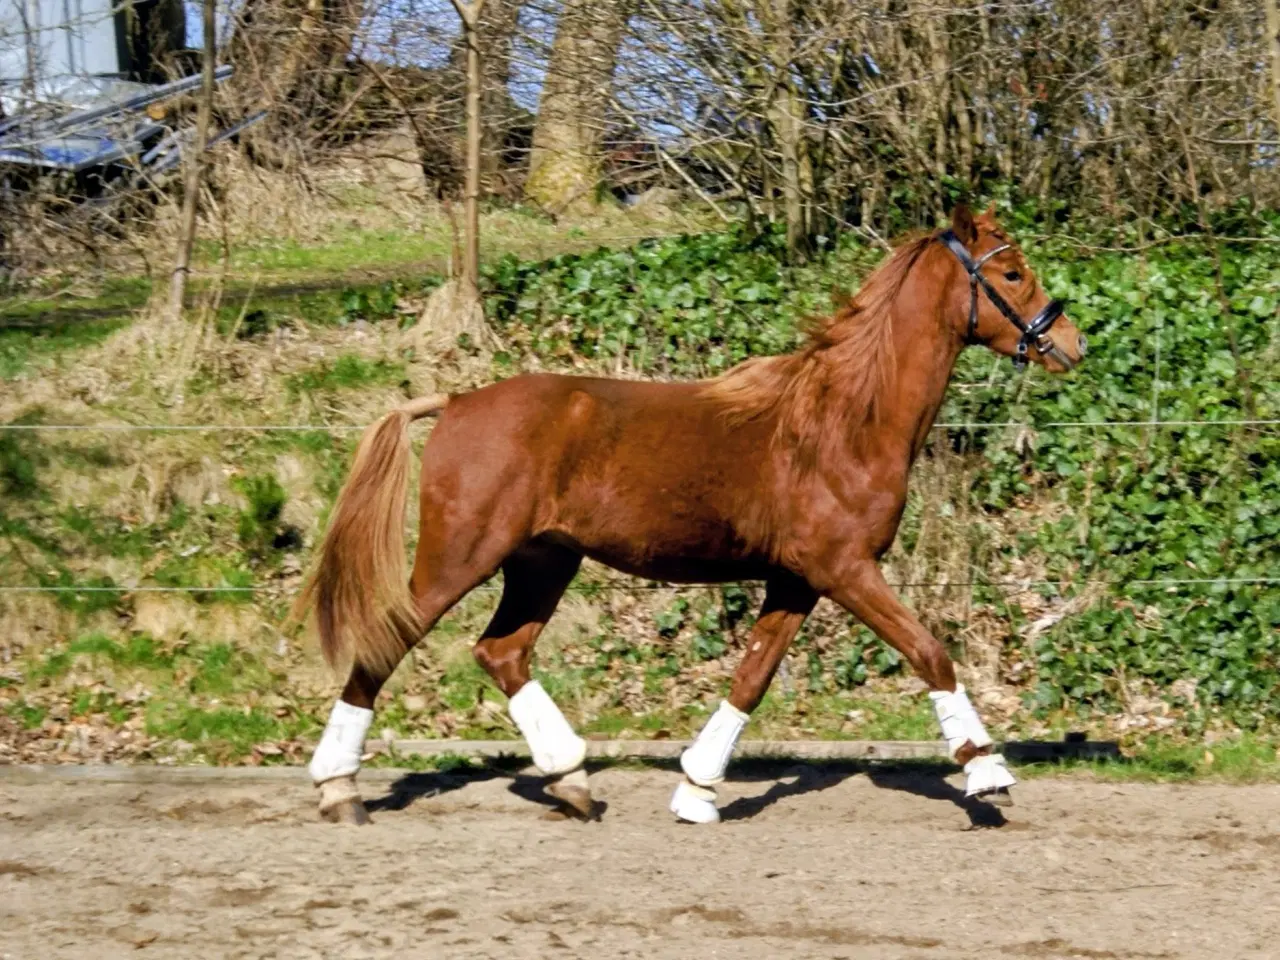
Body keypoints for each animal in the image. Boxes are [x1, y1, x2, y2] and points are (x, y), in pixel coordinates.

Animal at [295, 204, 1088, 825]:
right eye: (1011, 274)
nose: (1069, 342)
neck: (844, 420)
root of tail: (454, 403)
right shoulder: (844, 569)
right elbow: (930, 651)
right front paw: (988, 772)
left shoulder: (798, 580)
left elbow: (751, 677)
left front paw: (698, 791)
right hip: (461, 556)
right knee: (387, 644)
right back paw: (339, 788)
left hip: (544, 562)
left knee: (501, 653)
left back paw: (572, 781)